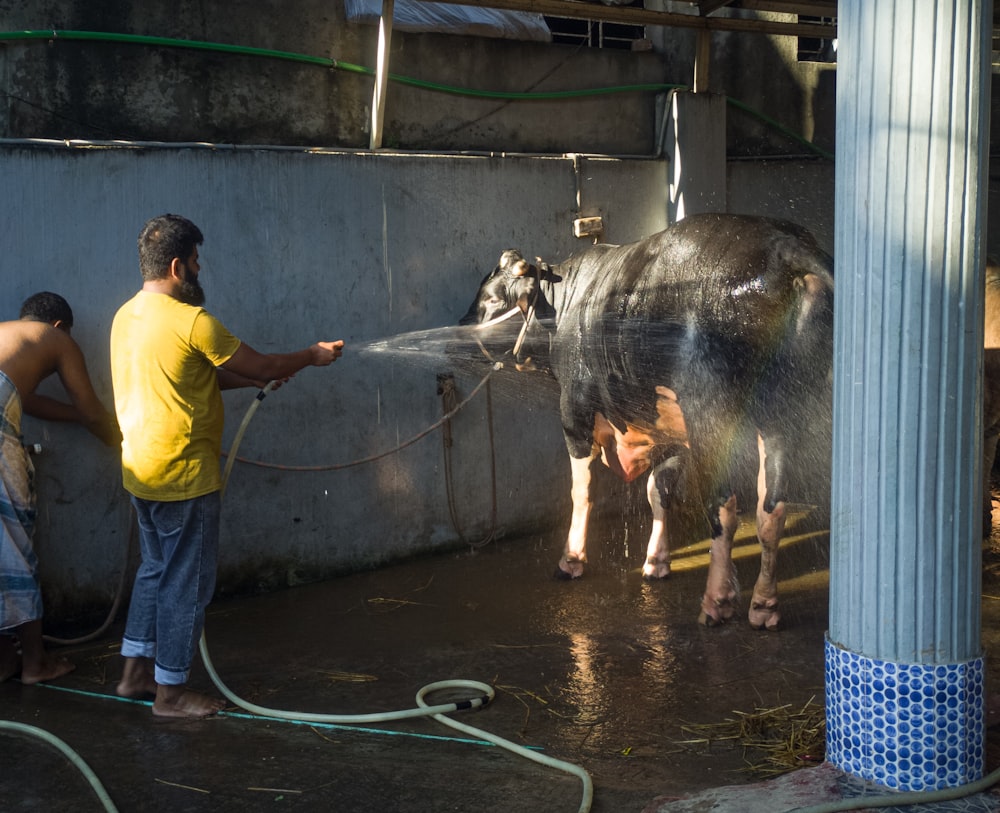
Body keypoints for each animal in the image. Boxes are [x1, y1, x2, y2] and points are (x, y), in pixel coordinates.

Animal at [460, 211, 836, 628]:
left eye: (492, 299)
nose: (460, 326)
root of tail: (785, 246)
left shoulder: (574, 411)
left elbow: (582, 491)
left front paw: (571, 560)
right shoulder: (666, 429)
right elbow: (659, 490)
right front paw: (656, 562)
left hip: (711, 412)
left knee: (724, 504)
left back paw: (717, 601)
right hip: (783, 413)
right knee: (772, 507)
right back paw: (764, 606)